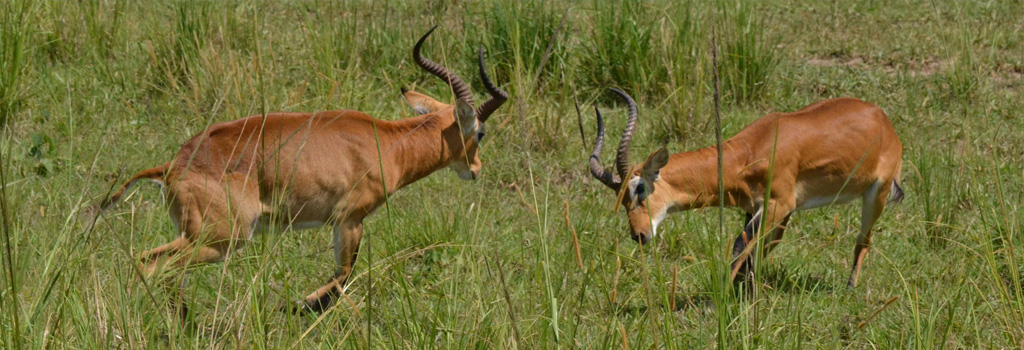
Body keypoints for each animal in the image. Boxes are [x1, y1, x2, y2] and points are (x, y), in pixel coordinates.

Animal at [93, 25, 507, 313]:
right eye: (481, 132)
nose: (476, 169)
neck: (387, 143)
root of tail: (174, 165)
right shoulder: (349, 219)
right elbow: (343, 275)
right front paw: (299, 305)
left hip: (197, 236)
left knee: (144, 261)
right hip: (220, 240)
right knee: (157, 267)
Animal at [585, 88, 905, 286]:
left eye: (639, 188)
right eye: (620, 199)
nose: (639, 235)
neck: (748, 153)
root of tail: (882, 118)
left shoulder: (778, 204)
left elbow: (740, 246)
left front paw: (718, 301)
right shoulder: (755, 208)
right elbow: (750, 250)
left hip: (875, 194)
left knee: (864, 241)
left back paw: (850, 287)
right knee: (771, 244)